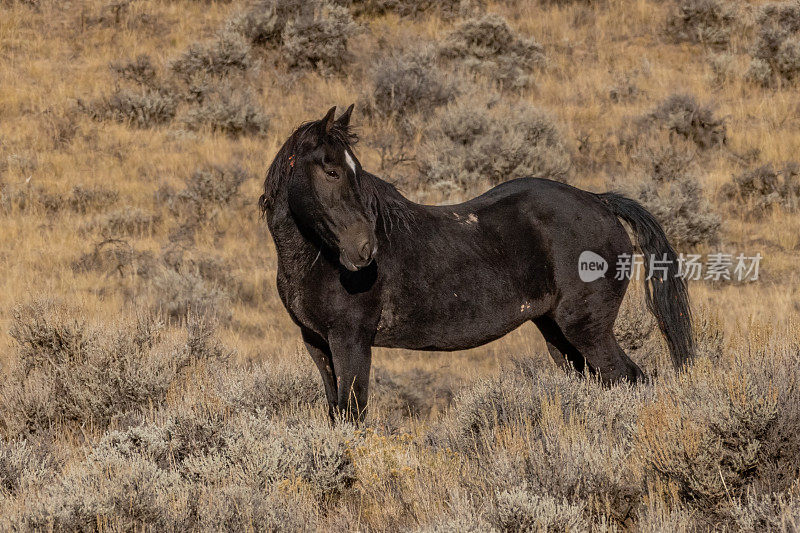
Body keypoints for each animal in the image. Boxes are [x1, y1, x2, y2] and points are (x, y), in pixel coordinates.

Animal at [260, 105, 692, 420]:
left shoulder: (351, 341)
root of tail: (600, 201)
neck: (317, 260)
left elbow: (354, 414)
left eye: (355, 172)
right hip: (559, 335)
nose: (364, 250)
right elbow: (337, 413)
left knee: (629, 379)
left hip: (588, 330)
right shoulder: (318, 343)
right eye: (331, 171)